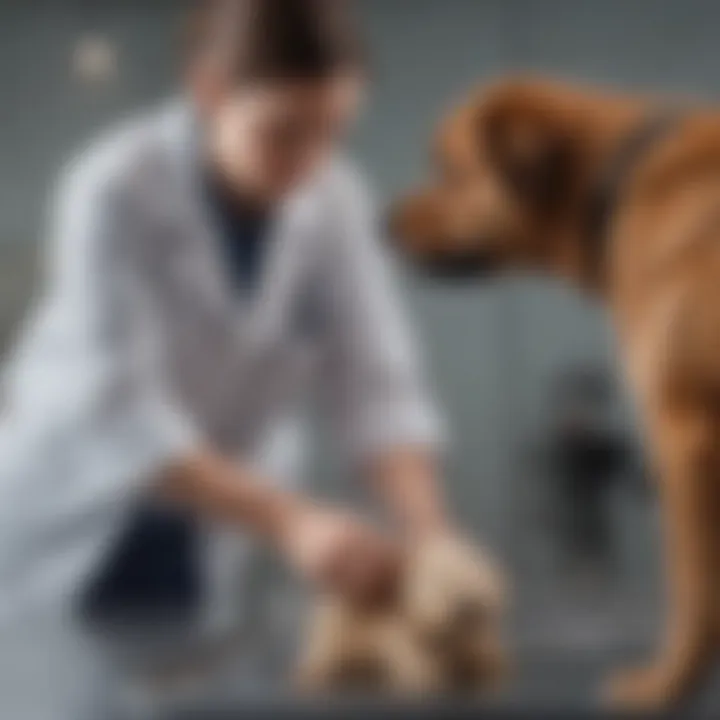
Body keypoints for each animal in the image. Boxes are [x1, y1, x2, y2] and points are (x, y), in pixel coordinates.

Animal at [292, 536, 506, 696]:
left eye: (471, 566)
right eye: (439, 578)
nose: (473, 597)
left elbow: (485, 657)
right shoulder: (401, 642)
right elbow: (419, 670)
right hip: (333, 638)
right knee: (322, 658)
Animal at [390, 74, 720, 708]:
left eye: (447, 168)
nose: (379, 222)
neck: (622, 181)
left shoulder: (685, 434)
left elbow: (695, 591)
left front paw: (665, 688)